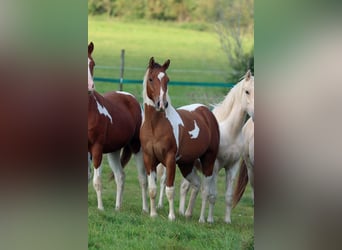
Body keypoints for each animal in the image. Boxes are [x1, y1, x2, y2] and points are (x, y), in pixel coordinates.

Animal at [87, 42, 148, 212]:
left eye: (92, 64)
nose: (90, 86)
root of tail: (131, 98)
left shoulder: (96, 149)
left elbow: (97, 181)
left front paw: (100, 208)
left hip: (137, 147)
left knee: (142, 178)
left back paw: (146, 209)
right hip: (113, 151)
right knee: (120, 176)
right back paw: (117, 207)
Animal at [140, 57, 220, 222]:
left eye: (167, 80)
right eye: (151, 79)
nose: (162, 104)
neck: (155, 126)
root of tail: (207, 113)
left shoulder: (170, 160)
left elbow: (170, 189)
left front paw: (171, 216)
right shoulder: (149, 159)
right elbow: (152, 189)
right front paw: (153, 214)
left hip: (208, 161)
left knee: (205, 189)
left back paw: (202, 219)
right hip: (186, 165)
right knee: (196, 184)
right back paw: (187, 213)